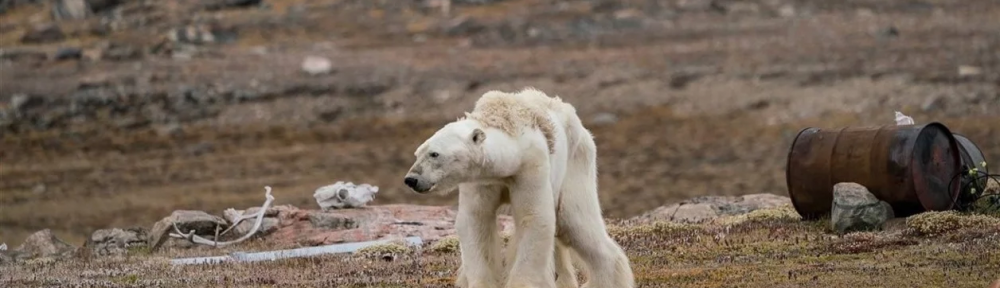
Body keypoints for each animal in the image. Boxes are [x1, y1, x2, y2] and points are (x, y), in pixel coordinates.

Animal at [400, 88, 628, 288]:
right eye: (417, 153)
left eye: (434, 154)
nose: (411, 179)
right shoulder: (481, 180)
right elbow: (475, 220)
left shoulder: (530, 167)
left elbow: (534, 218)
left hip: (576, 163)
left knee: (575, 221)